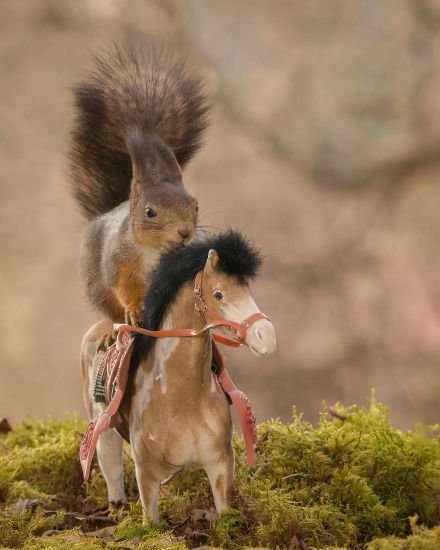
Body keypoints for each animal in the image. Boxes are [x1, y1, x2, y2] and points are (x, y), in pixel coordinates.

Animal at [69, 45, 210, 328]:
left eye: (196, 207)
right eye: (150, 212)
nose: (184, 232)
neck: (155, 251)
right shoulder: (119, 263)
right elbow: (126, 289)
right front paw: (134, 310)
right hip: (97, 287)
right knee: (112, 310)